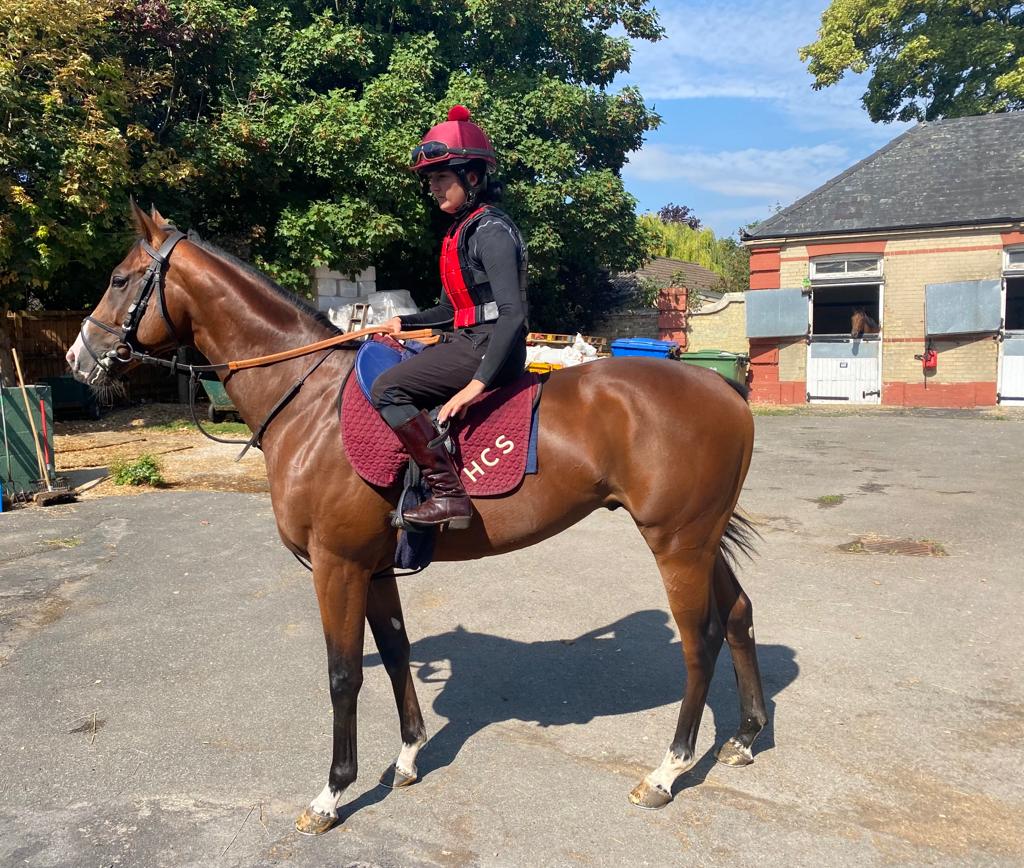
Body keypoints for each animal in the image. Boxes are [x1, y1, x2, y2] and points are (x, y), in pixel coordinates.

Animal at [65, 203, 768, 835]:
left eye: (120, 279)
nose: (78, 357)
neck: (310, 401)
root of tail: (721, 388)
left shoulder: (337, 566)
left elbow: (343, 674)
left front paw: (332, 793)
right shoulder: (374, 569)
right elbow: (396, 649)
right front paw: (406, 755)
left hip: (676, 545)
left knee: (700, 640)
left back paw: (667, 771)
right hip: (700, 542)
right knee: (737, 614)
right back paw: (744, 735)